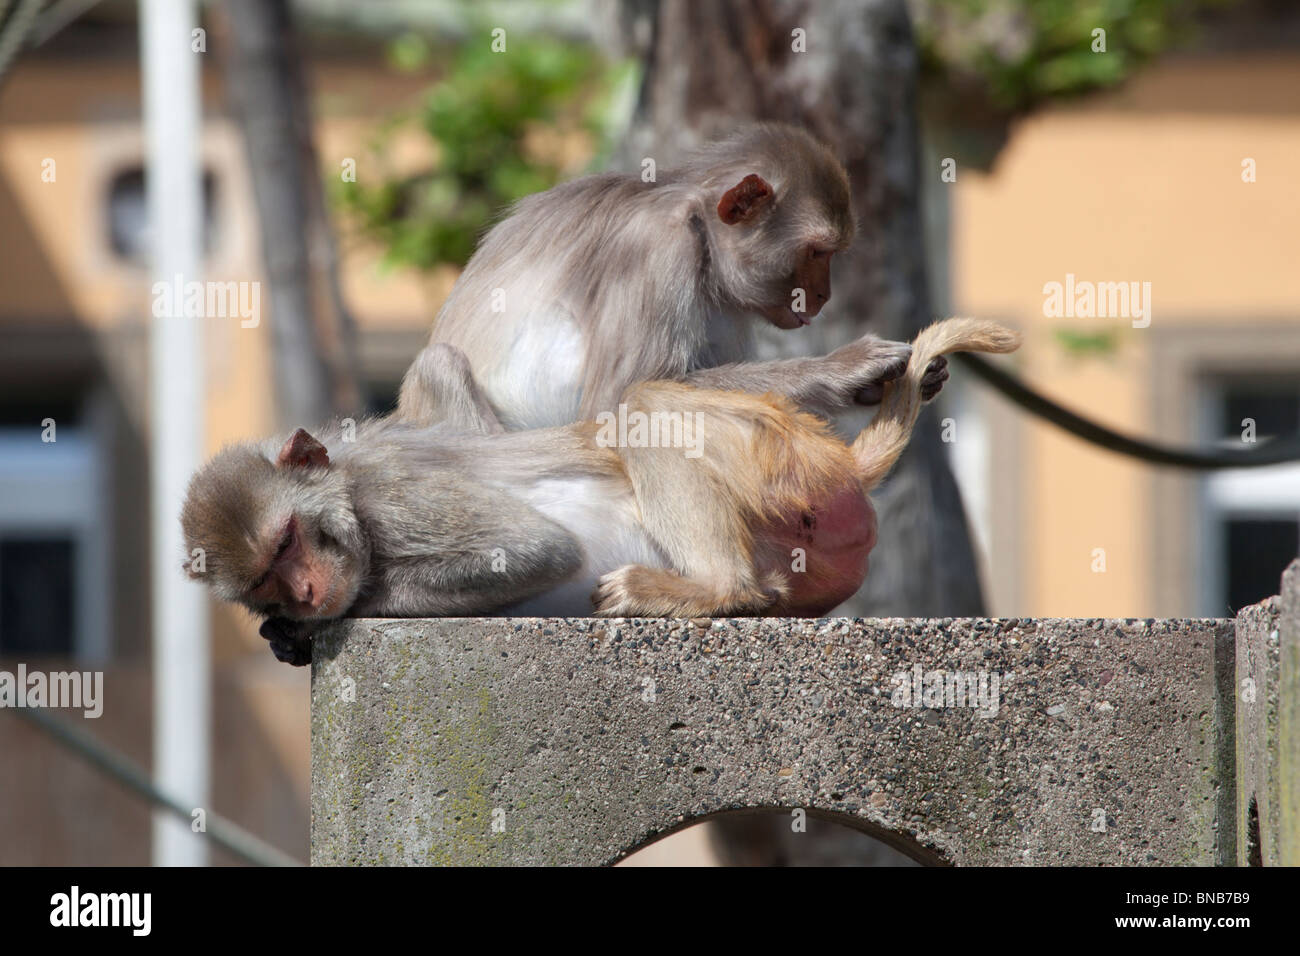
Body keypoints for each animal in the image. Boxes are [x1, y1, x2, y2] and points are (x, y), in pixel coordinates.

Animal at [180, 321, 1013, 665]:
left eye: (289, 541)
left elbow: (533, 550)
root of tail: (839, 462)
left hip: (779, 463)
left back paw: (711, 589)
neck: (348, 484)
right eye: (266, 575)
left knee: (644, 407)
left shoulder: (392, 495)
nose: (305, 591)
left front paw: (310, 629)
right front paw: (284, 631)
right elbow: (445, 375)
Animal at [400, 122, 951, 426]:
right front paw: (843, 368)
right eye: (817, 252)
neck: (698, 229)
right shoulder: (654, 248)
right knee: (439, 367)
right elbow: (613, 407)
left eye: (832, 254)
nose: (823, 295)